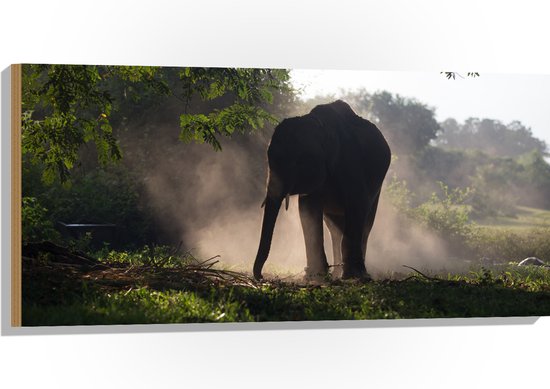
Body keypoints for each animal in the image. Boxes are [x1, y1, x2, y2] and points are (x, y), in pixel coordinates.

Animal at [254, 100, 392, 280]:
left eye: (295, 163)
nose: (262, 277)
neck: (320, 126)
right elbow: (308, 211)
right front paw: (315, 276)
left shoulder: (351, 163)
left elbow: (357, 205)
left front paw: (351, 276)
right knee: (335, 229)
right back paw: (337, 273)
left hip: (377, 187)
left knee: (365, 225)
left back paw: (359, 274)